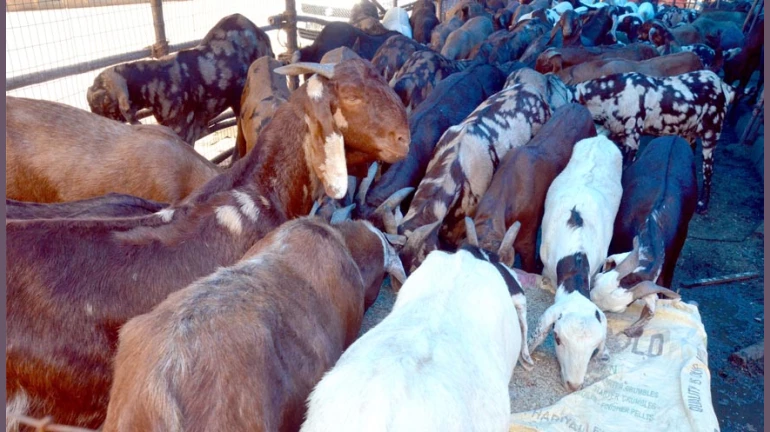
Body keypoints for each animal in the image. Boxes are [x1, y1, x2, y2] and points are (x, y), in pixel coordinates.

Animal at [572, 70, 735, 213]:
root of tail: (723, 85)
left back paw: (702, 204)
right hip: (688, 135)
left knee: (708, 172)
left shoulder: (632, 141)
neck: (616, 95)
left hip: (710, 138)